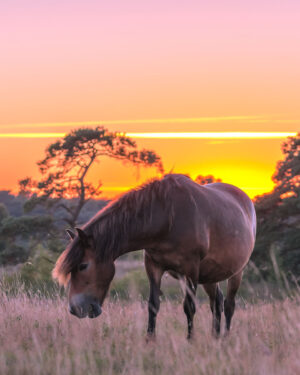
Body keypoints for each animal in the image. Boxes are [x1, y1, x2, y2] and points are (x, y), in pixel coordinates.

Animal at [52, 175, 256, 340]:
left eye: (83, 265)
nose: (74, 309)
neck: (167, 218)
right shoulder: (153, 266)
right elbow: (153, 305)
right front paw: (150, 340)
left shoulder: (190, 270)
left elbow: (189, 306)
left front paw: (190, 341)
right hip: (209, 276)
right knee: (217, 303)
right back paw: (215, 337)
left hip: (236, 272)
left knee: (228, 305)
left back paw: (225, 338)